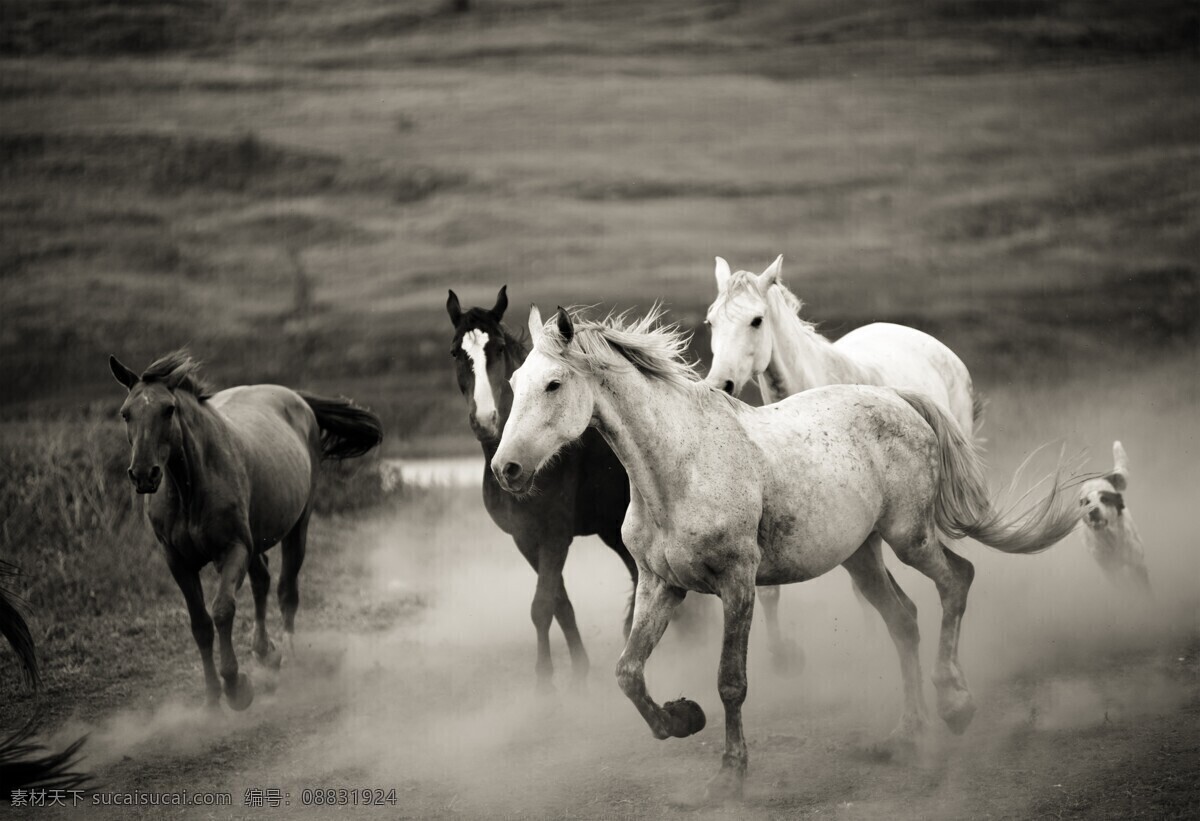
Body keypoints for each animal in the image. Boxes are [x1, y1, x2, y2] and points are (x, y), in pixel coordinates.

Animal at [109, 351, 382, 710]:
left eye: (168, 409)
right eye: (126, 413)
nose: (143, 474)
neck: (190, 488)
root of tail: (296, 398)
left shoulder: (233, 549)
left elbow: (223, 610)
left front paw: (237, 687)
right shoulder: (178, 561)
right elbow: (200, 624)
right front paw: (212, 698)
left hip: (297, 527)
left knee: (286, 590)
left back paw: (289, 657)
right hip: (257, 540)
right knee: (262, 581)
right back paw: (266, 653)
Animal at [447, 286, 636, 689]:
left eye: (499, 347)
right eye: (456, 352)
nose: (485, 420)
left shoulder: (555, 536)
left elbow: (542, 605)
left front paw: (544, 683)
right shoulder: (525, 538)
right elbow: (560, 604)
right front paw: (578, 669)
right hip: (612, 529)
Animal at [491, 306, 1078, 800]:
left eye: (554, 383)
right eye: (514, 384)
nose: (506, 469)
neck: (678, 470)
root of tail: (898, 397)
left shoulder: (737, 583)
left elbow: (731, 682)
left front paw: (731, 773)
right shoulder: (662, 585)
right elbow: (627, 673)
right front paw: (682, 719)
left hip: (909, 536)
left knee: (957, 579)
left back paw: (955, 703)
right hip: (861, 555)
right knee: (904, 619)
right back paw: (907, 732)